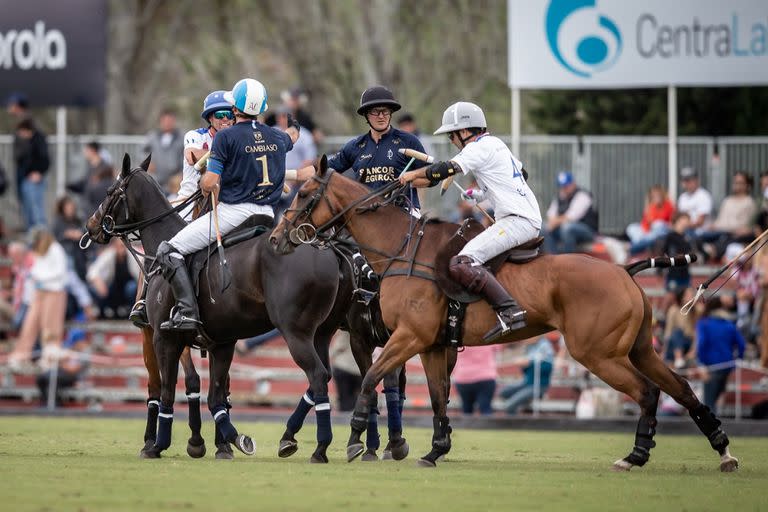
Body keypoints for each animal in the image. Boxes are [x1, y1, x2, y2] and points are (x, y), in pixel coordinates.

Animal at [85, 154, 408, 462]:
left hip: (298, 332)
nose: (90, 228)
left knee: (322, 376)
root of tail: (332, 249)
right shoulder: (221, 342)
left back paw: (322, 447)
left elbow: (166, 391)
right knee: (345, 377)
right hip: (324, 332)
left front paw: (159, 444)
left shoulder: (164, 337)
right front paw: (232, 440)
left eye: (110, 191)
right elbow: (214, 395)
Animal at [272, 158, 740, 474]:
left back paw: (636, 455)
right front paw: (435, 450)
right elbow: (439, 397)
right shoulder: (433, 344)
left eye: (302, 194)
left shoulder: (409, 336)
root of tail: (624, 270)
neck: (401, 249)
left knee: (646, 392)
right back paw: (723, 449)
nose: (277, 239)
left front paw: (354, 442)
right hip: (640, 347)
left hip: (597, 353)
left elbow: (369, 379)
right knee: (681, 388)